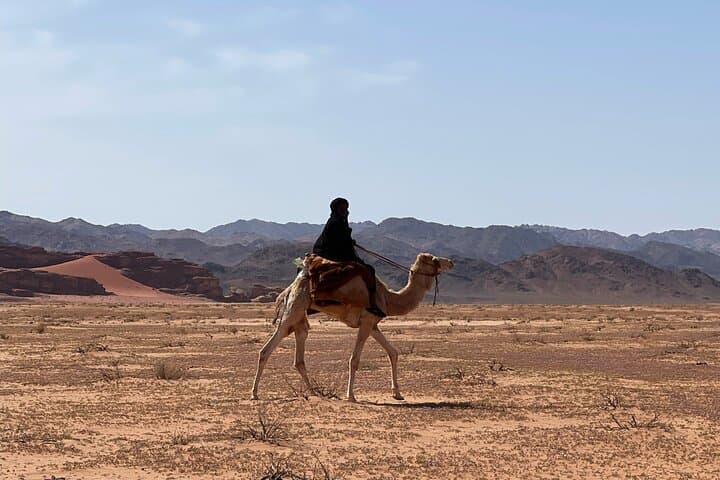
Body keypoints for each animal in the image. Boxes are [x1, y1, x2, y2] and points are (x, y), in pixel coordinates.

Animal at [251, 252, 454, 402]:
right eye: (435, 260)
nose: (451, 262)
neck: (388, 298)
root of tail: (290, 288)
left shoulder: (373, 324)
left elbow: (393, 352)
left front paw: (397, 393)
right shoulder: (365, 323)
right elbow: (354, 360)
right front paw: (351, 396)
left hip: (300, 317)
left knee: (299, 356)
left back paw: (314, 391)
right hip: (294, 310)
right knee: (266, 349)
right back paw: (254, 393)